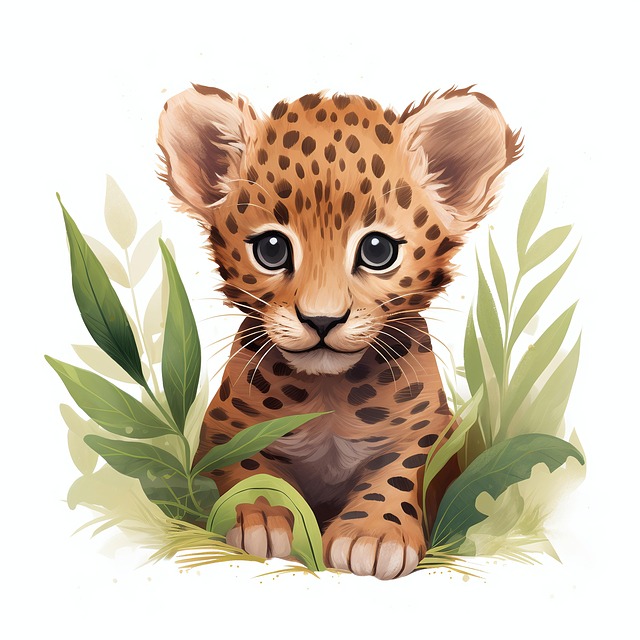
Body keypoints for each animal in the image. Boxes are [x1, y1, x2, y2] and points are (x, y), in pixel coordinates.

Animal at [157, 84, 521, 579]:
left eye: (377, 250)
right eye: (272, 248)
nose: (322, 320)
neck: (328, 396)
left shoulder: (427, 431)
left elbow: (400, 472)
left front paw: (374, 534)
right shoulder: (223, 430)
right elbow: (246, 466)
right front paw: (261, 517)